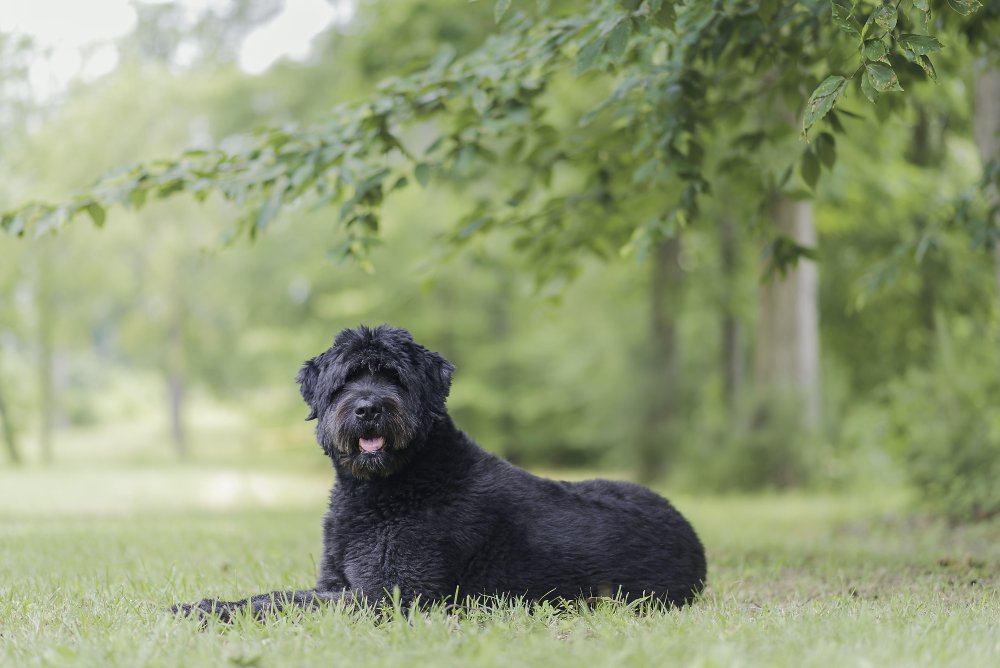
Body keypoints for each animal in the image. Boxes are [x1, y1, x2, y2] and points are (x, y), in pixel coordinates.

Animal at [172, 324, 704, 620]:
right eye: (346, 379)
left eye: (394, 377)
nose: (368, 409)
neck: (391, 486)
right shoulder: (336, 584)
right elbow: (278, 595)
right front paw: (209, 605)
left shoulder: (388, 595)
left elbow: (284, 602)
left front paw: (207, 611)